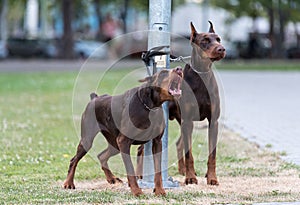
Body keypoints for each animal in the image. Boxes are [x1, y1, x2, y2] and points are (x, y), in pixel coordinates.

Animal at [63, 67, 183, 195]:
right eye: (163, 73)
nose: (179, 68)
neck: (150, 107)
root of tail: (94, 98)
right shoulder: (123, 141)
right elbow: (130, 168)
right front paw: (136, 191)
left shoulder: (157, 142)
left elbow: (158, 169)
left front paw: (159, 190)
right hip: (88, 139)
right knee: (74, 160)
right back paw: (68, 183)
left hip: (114, 144)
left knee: (102, 156)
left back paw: (111, 178)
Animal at [137, 20, 224, 186]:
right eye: (205, 41)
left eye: (218, 39)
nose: (221, 49)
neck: (202, 75)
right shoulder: (188, 121)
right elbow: (189, 153)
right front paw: (190, 178)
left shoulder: (213, 121)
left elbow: (212, 154)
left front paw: (212, 178)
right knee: (141, 149)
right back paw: (139, 175)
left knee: (179, 143)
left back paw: (182, 170)